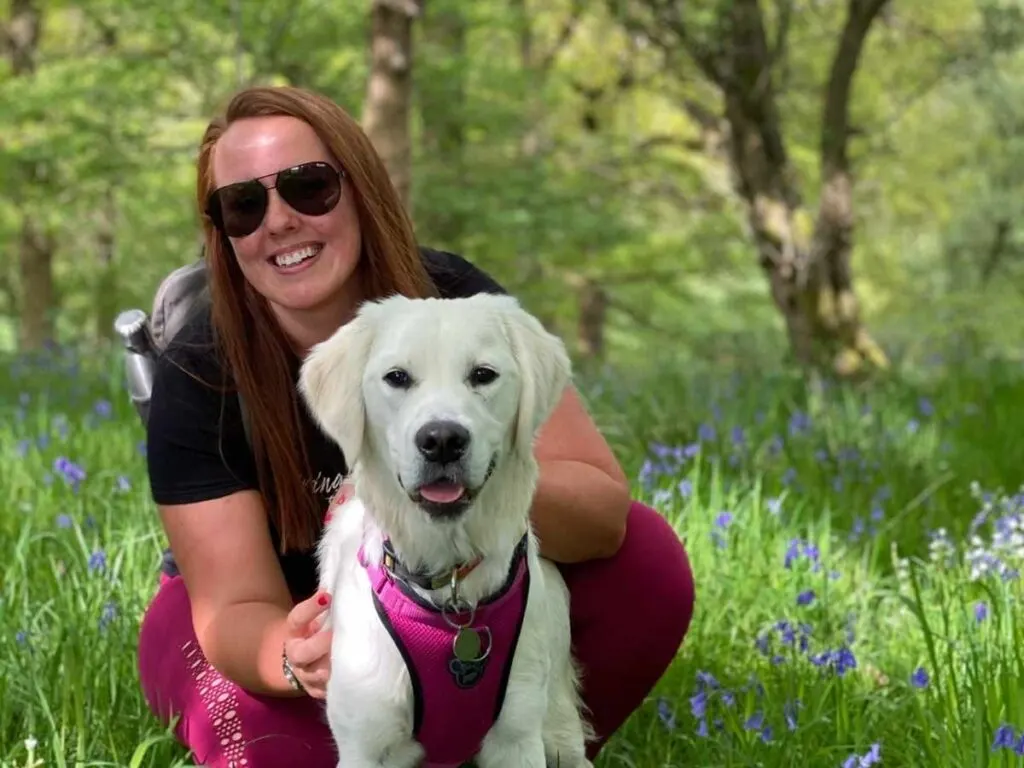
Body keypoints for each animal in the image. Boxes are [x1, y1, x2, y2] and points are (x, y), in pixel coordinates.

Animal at [296, 292, 598, 768]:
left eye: (483, 375)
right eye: (397, 377)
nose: (441, 439)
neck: (449, 585)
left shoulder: (516, 736)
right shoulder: (366, 740)